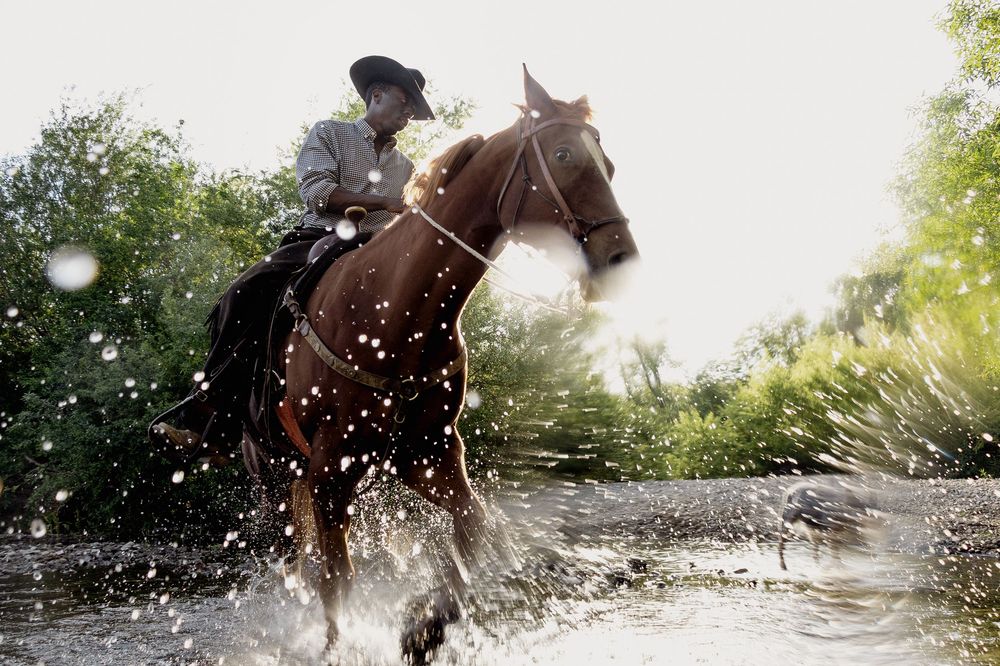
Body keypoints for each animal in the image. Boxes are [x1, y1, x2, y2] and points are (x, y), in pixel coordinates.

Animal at [251, 67, 640, 663]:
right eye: (564, 154)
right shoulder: (331, 467)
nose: (620, 257)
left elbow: (472, 531)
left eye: (610, 164)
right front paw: (345, 644)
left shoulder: (428, 452)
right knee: (296, 561)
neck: (394, 307)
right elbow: (338, 578)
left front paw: (426, 625)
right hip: (273, 472)